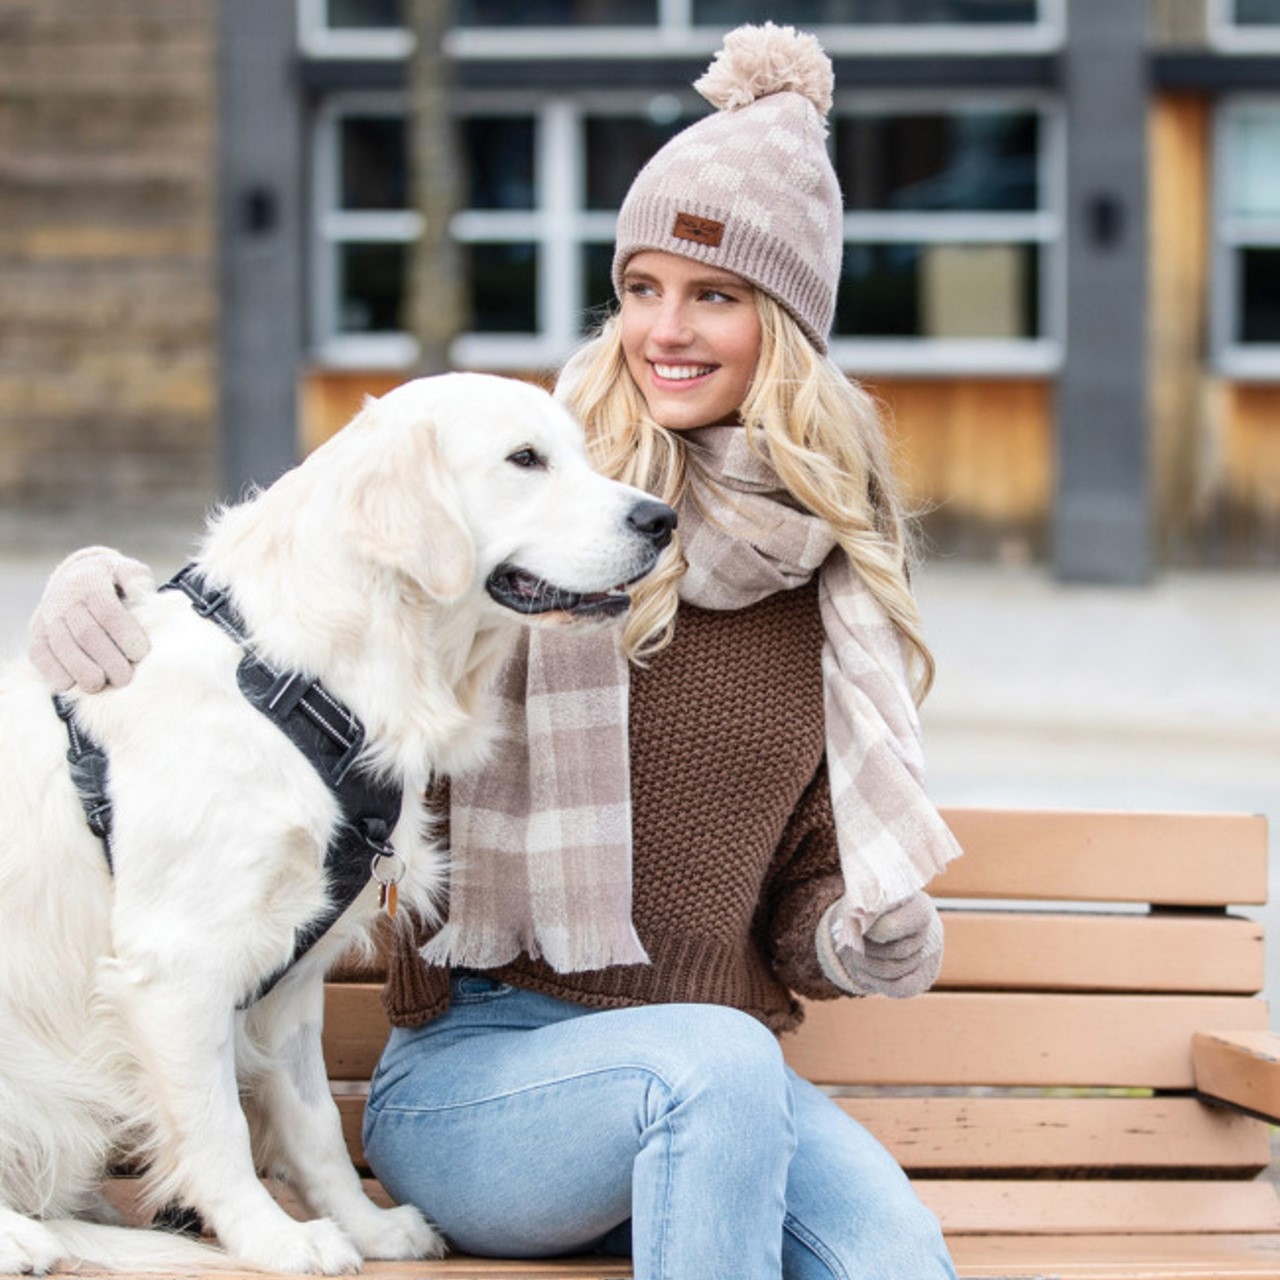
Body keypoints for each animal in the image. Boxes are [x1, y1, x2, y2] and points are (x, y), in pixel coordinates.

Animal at [0, 371, 680, 1269]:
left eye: (580, 451)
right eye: (525, 459)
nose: (662, 519)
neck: (294, 684)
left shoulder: (291, 972)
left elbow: (315, 1118)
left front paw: (367, 1226)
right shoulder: (176, 967)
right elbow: (217, 1128)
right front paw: (271, 1239)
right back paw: (22, 1235)